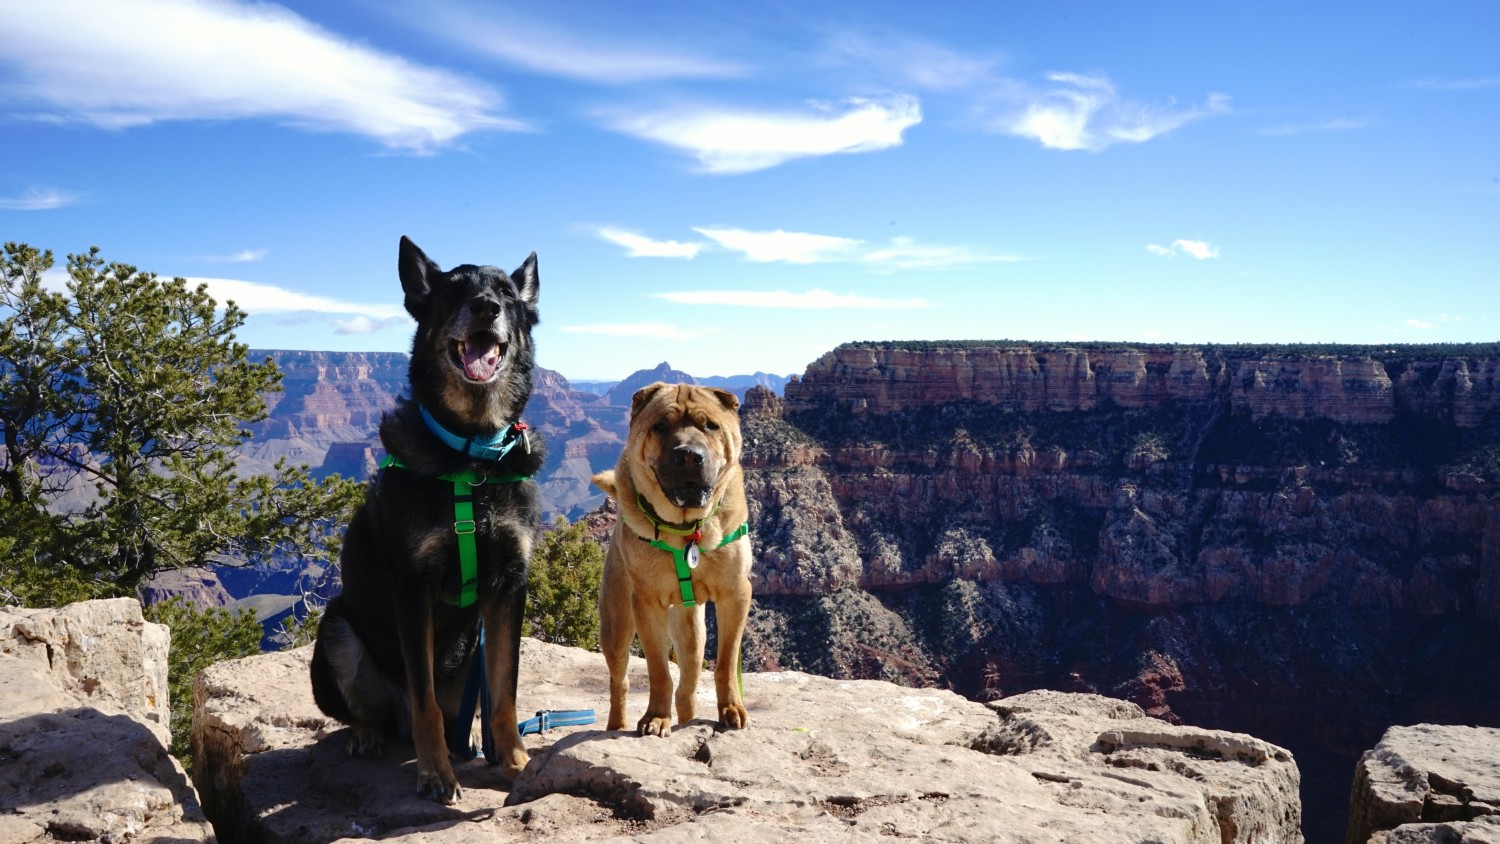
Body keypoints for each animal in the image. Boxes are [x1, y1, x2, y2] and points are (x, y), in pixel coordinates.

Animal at [310, 233, 546, 803]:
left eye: (507, 294)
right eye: (453, 291)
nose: (485, 307)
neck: (472, 457)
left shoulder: (509, 587)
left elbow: (505, 693)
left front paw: (515, 760)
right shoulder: (412, 589)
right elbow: (425, 703)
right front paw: (436, 772)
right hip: (336, 630)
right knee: (374, 711)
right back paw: (368, 733)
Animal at [594, 386, 756, 737]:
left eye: (710, 425)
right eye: (660, 427)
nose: (689, 456)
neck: (687, 530)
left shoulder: (735, 595)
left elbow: (726, 663)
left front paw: (731, 709)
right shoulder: (646, 603)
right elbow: (658, 670)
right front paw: (656, 717)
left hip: (692, 631)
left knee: (688, 685)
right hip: (616, 625)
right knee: (619, 681)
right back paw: (616, 724)